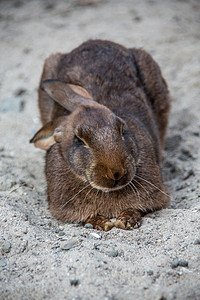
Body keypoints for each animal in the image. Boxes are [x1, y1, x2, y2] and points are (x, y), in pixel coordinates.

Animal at [30, 39, 170, 231]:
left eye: (122, 129)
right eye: (79, 139)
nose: (116, 173)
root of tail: (98, 42)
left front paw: (127, 220)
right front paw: (101, 223)